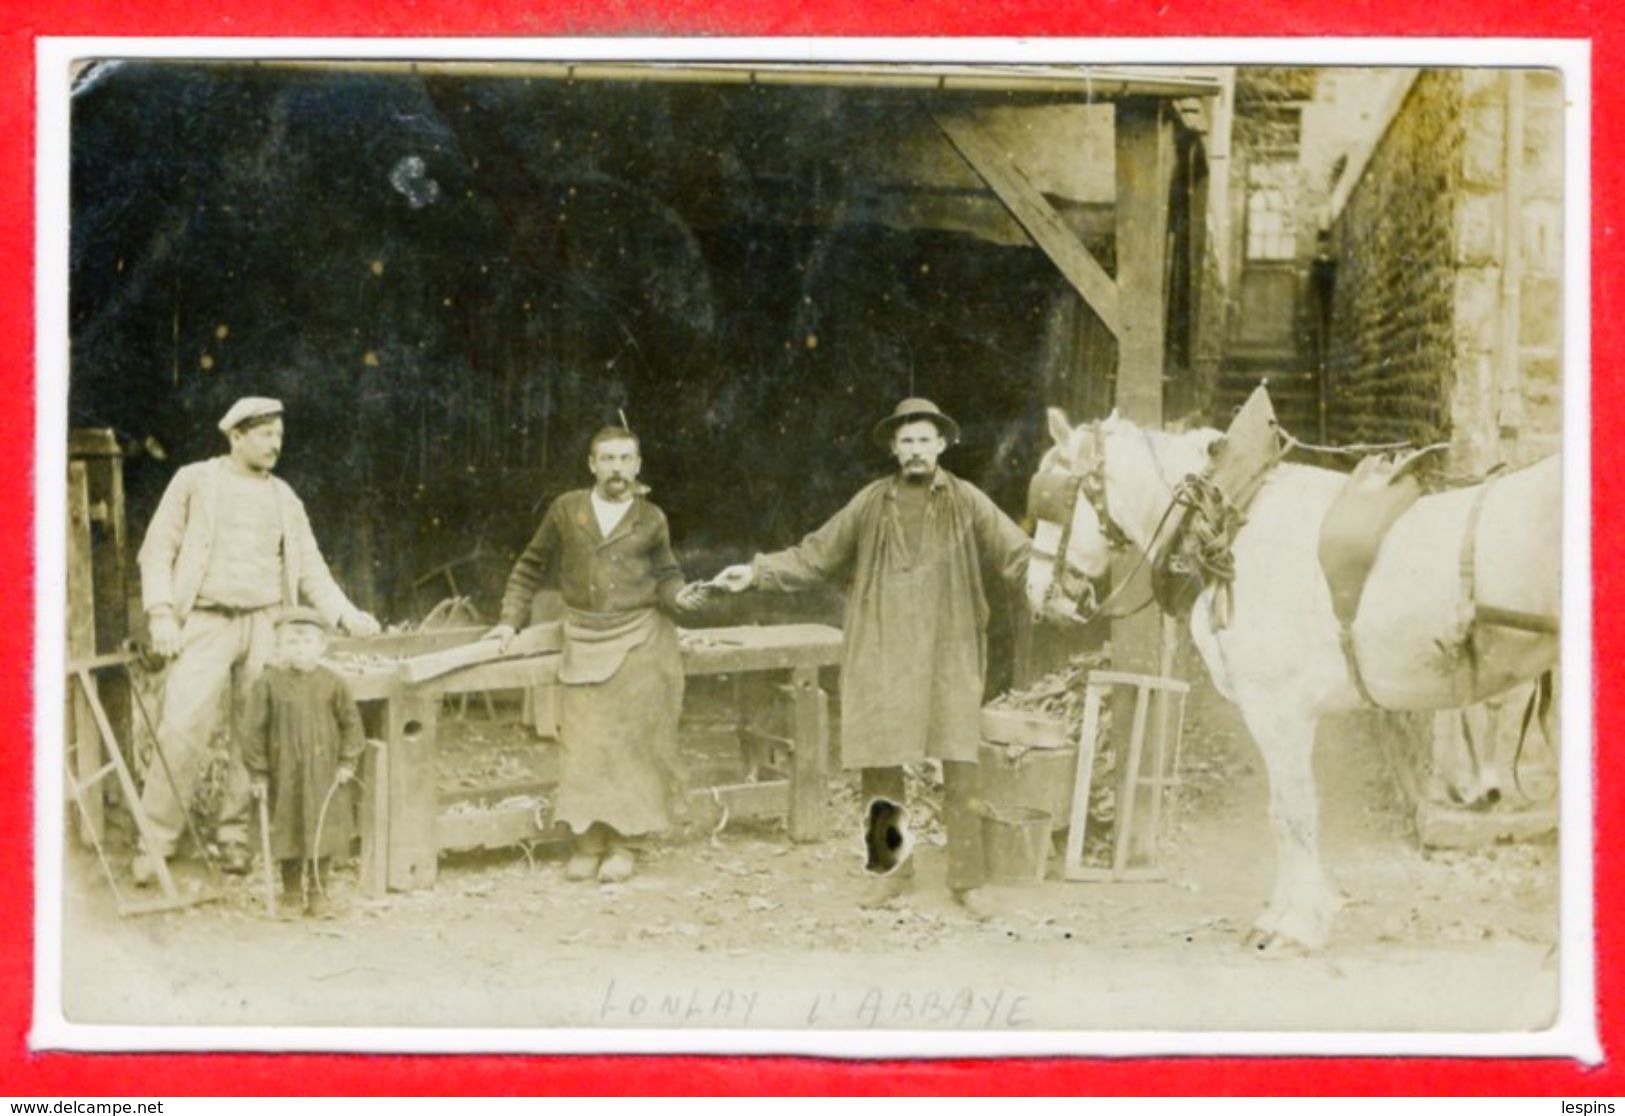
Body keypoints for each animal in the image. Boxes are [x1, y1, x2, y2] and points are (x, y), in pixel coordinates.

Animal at [1027, 410, 1560, 948]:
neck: (1234, 521)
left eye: (1055, 500)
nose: (1034, 592)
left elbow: (1293, 811)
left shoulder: (1278, 709)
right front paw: (1288, 912)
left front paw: (1297, 924)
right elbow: (1283, 812)